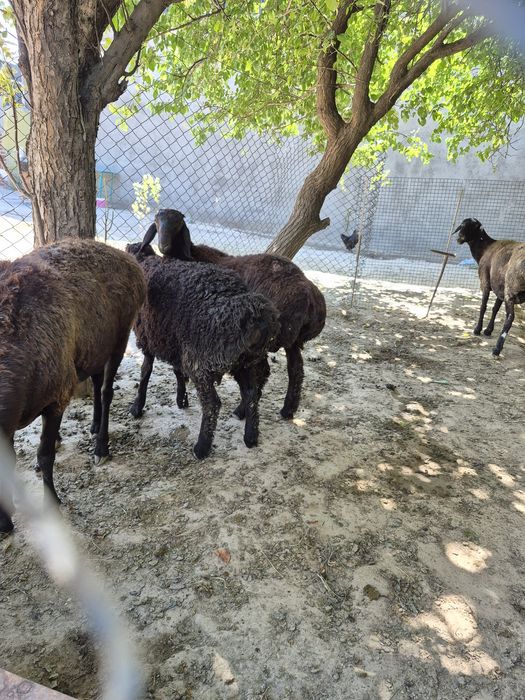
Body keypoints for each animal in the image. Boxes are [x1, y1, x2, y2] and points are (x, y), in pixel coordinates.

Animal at [0, 239, 146, 534]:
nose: (3, 527)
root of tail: (128, 259)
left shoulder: (58, 397)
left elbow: (45, 456)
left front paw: (52, 501)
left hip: (120, 338)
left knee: (107, 391)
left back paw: (101, 447)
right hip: (95, 346)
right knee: (98, 384)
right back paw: (93, 425)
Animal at [126, 243, 279, 459]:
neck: (145, 263)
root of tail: (255, 315)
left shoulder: (148, 340)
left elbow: (145, 372)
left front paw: (137, 407)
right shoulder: (175, 343)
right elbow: (177, 372)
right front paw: (181, 399)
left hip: (201, 360)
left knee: (213, 404)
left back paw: (201, 447)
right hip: (245, 361)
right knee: (251, 394)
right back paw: (250, 437)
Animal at [141, 209, 326, 420]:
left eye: (178, 224)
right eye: (156, 222)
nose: (163, 245)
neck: (189, 255)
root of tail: (310, 296)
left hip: (266, 340)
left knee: (264, 373)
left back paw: (242, 411)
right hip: (291, 341)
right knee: (295, 370)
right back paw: (287, 410)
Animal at [456, 217, 525, 356]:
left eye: (469, 226)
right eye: (461, 225)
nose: (459, 237)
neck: (485, 248)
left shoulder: (485, 283)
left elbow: (483, 307)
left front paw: (477, 329)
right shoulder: (500, 288)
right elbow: (495, 309)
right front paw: (488, 330)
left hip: (511, 291)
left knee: (510, 318)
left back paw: (497, 349)